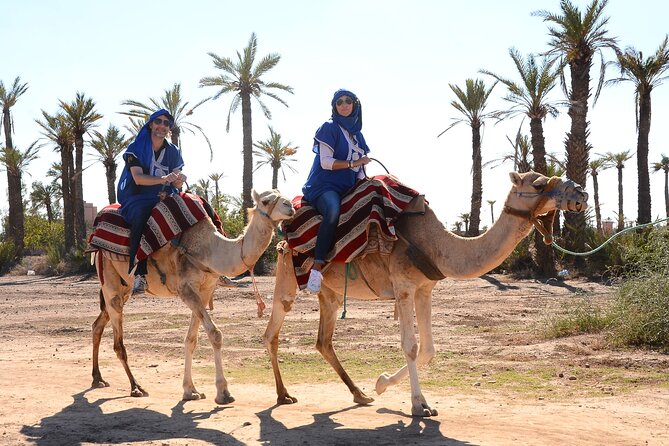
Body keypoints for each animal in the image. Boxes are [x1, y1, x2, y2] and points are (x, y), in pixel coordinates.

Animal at [91, 190, 294, 406]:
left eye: (281, 194)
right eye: (265, 200)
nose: (290, 206)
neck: (209, 248)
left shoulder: (204, 290)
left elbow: (191, 339)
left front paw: (190, 390)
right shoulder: (186, 289)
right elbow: (215, 334)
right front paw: (223, 393)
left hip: (124, 288)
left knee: (98, 324)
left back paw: (98, 378)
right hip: (109, 278)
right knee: (118, 340)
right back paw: (135, 387)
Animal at [264, 172, 588, 416]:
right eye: (539, 184)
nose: (581, 193)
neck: (435, 244)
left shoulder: (424, 289)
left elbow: (429, 349)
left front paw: (381, 384)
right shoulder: (404, 287)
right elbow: (410, 345)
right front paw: (419, 405)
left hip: (329, 293)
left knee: (323, 341)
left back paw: (359, 394)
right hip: (286, 275)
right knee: (272, 331)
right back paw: (283, 395)